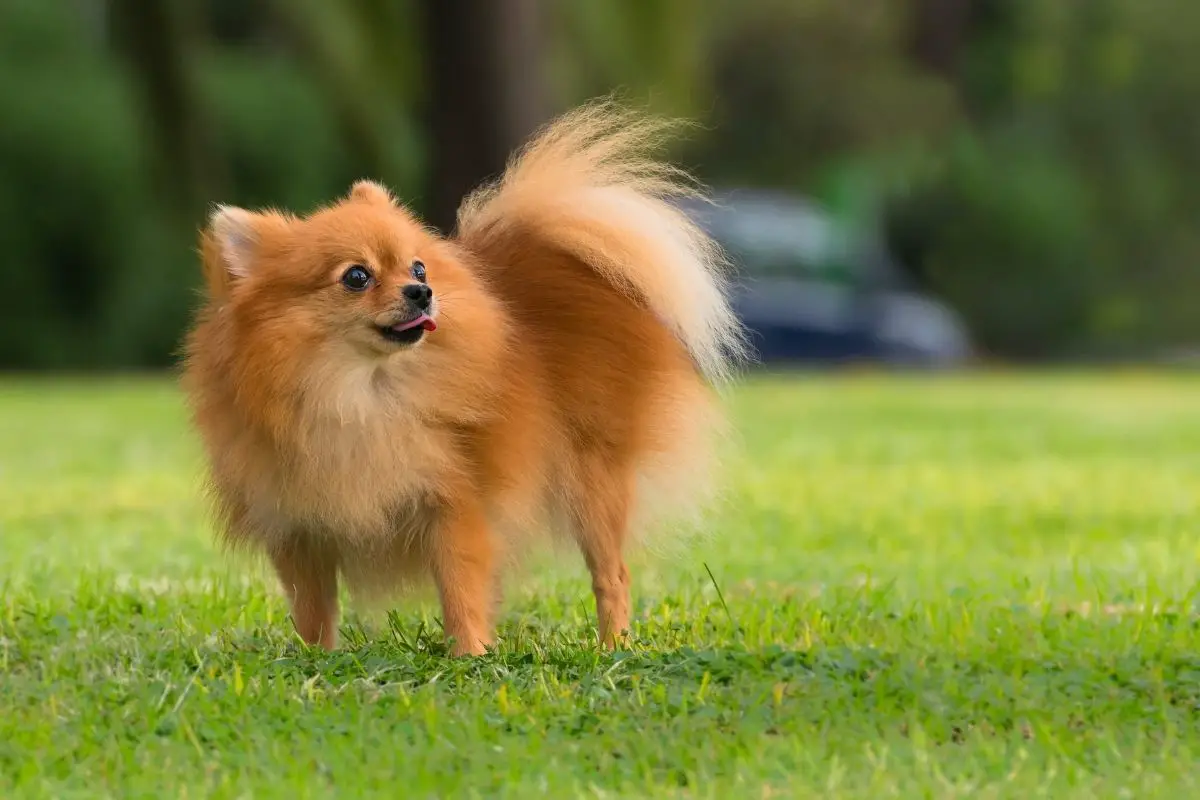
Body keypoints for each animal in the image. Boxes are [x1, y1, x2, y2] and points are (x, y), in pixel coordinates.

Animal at [182, 100, 744, 652]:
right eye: (357, 276)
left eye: (418, 269)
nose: (421, 292)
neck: (362, 394)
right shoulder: (298, 525)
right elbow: (313, 608)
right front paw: (315, 658)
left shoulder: (453, 505)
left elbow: (461, 588)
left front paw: (468, 654)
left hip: (594, 483)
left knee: (612, 576)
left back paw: (614, 647)